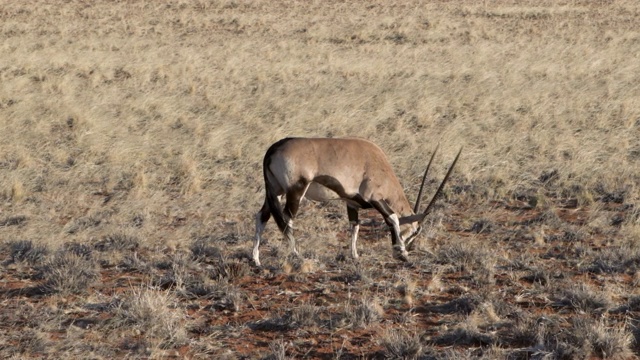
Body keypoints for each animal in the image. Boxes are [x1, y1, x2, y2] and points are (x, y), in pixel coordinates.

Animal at [252, 136, 462, 266]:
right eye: (416, 231)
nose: (409, 247)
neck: (380, 165)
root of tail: (274, 149)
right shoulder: (374, 197)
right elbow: (392, 217)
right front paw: (401, 253)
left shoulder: (351, 202)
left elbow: (355, 225)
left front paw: (354, 255)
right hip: (295, 191)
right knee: (287, 219)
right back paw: (297, 254)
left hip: (275, 191)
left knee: (262, 216)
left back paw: (256, 259)